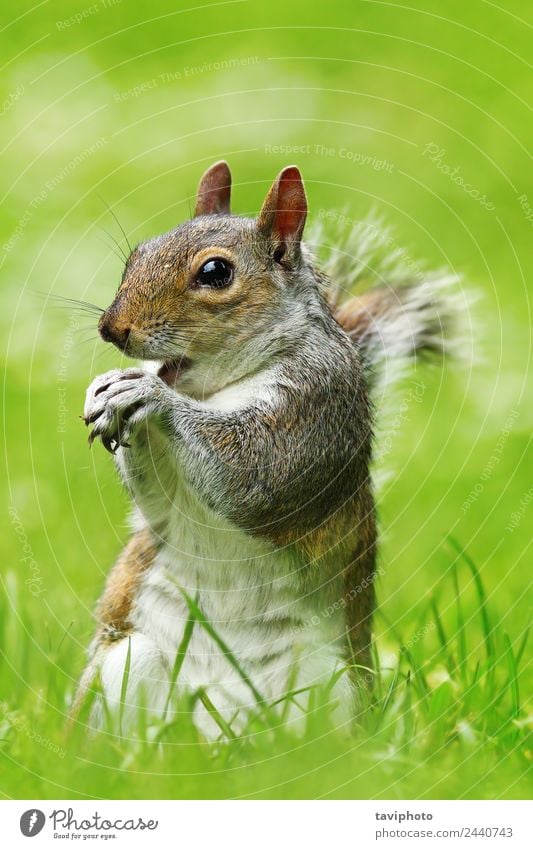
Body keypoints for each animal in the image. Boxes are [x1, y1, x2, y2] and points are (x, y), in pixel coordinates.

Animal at [71, 161, 462, 736]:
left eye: (216, 273)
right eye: (136, 254)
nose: (111, 329)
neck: (217, 389)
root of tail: (221, 735)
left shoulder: (317, 409)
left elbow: (254, 475)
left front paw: (150, 395)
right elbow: (158, 498)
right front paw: (104, 388)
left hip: (331, 686)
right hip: (128, 664)